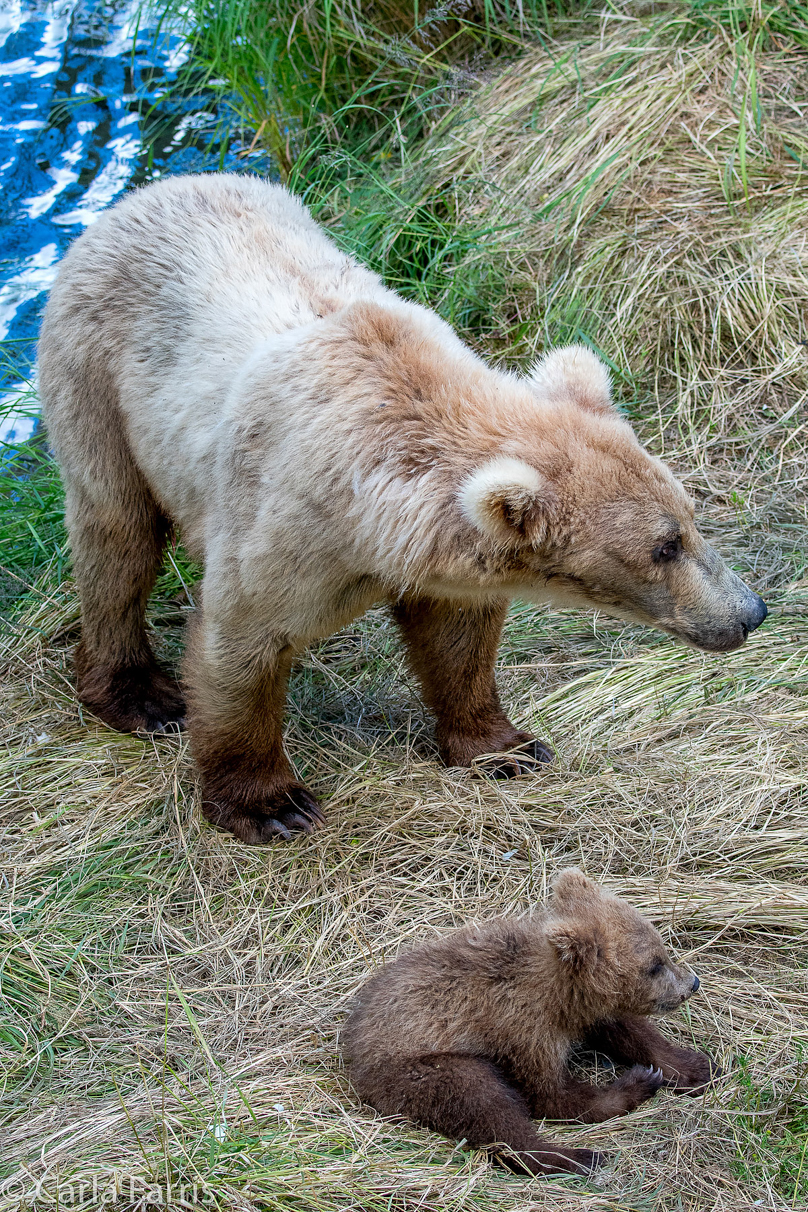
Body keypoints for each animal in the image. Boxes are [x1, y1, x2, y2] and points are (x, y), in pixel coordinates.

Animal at [39, 173, 770, 843]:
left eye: (691, 518)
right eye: (664, 547)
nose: (750, 612)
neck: (366, 516)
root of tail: (139, 195)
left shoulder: (434, 558)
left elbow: (457, 638)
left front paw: (505, 748)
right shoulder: (281, 522)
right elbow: (242, 645)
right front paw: (273, 805)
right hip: (98, 381)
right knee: (117, 537)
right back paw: (138, 695)